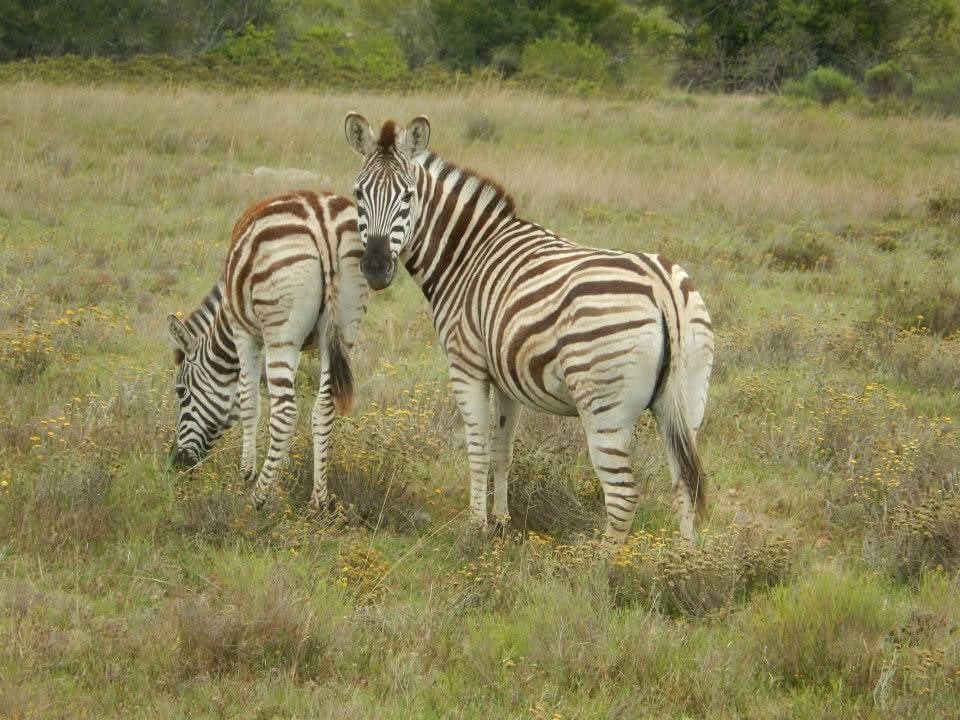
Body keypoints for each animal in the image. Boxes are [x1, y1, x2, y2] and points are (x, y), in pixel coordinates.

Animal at [167, 190, 369, 509]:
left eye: (181, 392)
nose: (177, 461)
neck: (224, 321)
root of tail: (321, 220)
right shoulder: (300, 346)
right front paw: (281, 469)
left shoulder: (242, 332)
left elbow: (248, 401)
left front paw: (247, 474)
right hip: (344, 325)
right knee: (324, 408)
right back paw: (318, 500)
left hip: (279, 330)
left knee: (285, 412)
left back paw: (258, 498)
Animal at [344, 113, 714, 544]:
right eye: (358, 193)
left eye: (407, 196)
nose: (375, 266)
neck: (467, 254)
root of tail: (663, 285)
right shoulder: (507, 377)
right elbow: (503, 449)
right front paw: (502, 521)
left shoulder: (466, 366)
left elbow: (477, 449)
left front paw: (476, 527)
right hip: (687, 401)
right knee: (684, 480)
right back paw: (682, 556)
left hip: (603, 404)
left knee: (623, 494)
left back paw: (605, 560)